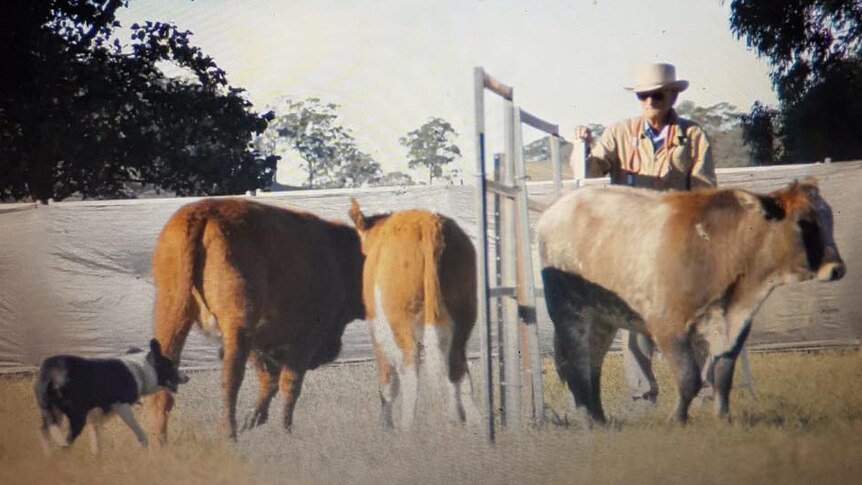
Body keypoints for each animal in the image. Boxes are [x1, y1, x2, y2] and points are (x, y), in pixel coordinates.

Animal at [35, 336, 189, 454]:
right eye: (172, 366)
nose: (187, 377)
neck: (142, 370)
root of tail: (52, 373)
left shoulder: (96, 416)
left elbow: (96, 443)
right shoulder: (122, 407)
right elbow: (141, 434)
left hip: (53, 412)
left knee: (45, 432)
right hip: (77, 417)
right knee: (66, 441)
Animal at [536, 178, 848, 424]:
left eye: (829, 220)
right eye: (803, 223)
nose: (837, 269)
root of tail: (556, 209)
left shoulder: (734, 327)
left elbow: (722, 376)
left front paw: (723, 419)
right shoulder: (669, 327)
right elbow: (689, 379)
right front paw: (677, 419)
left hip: (603, 319)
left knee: (593, 364)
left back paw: (599, 418)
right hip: (570, 313)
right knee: (578, 362)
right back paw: (588, 419)